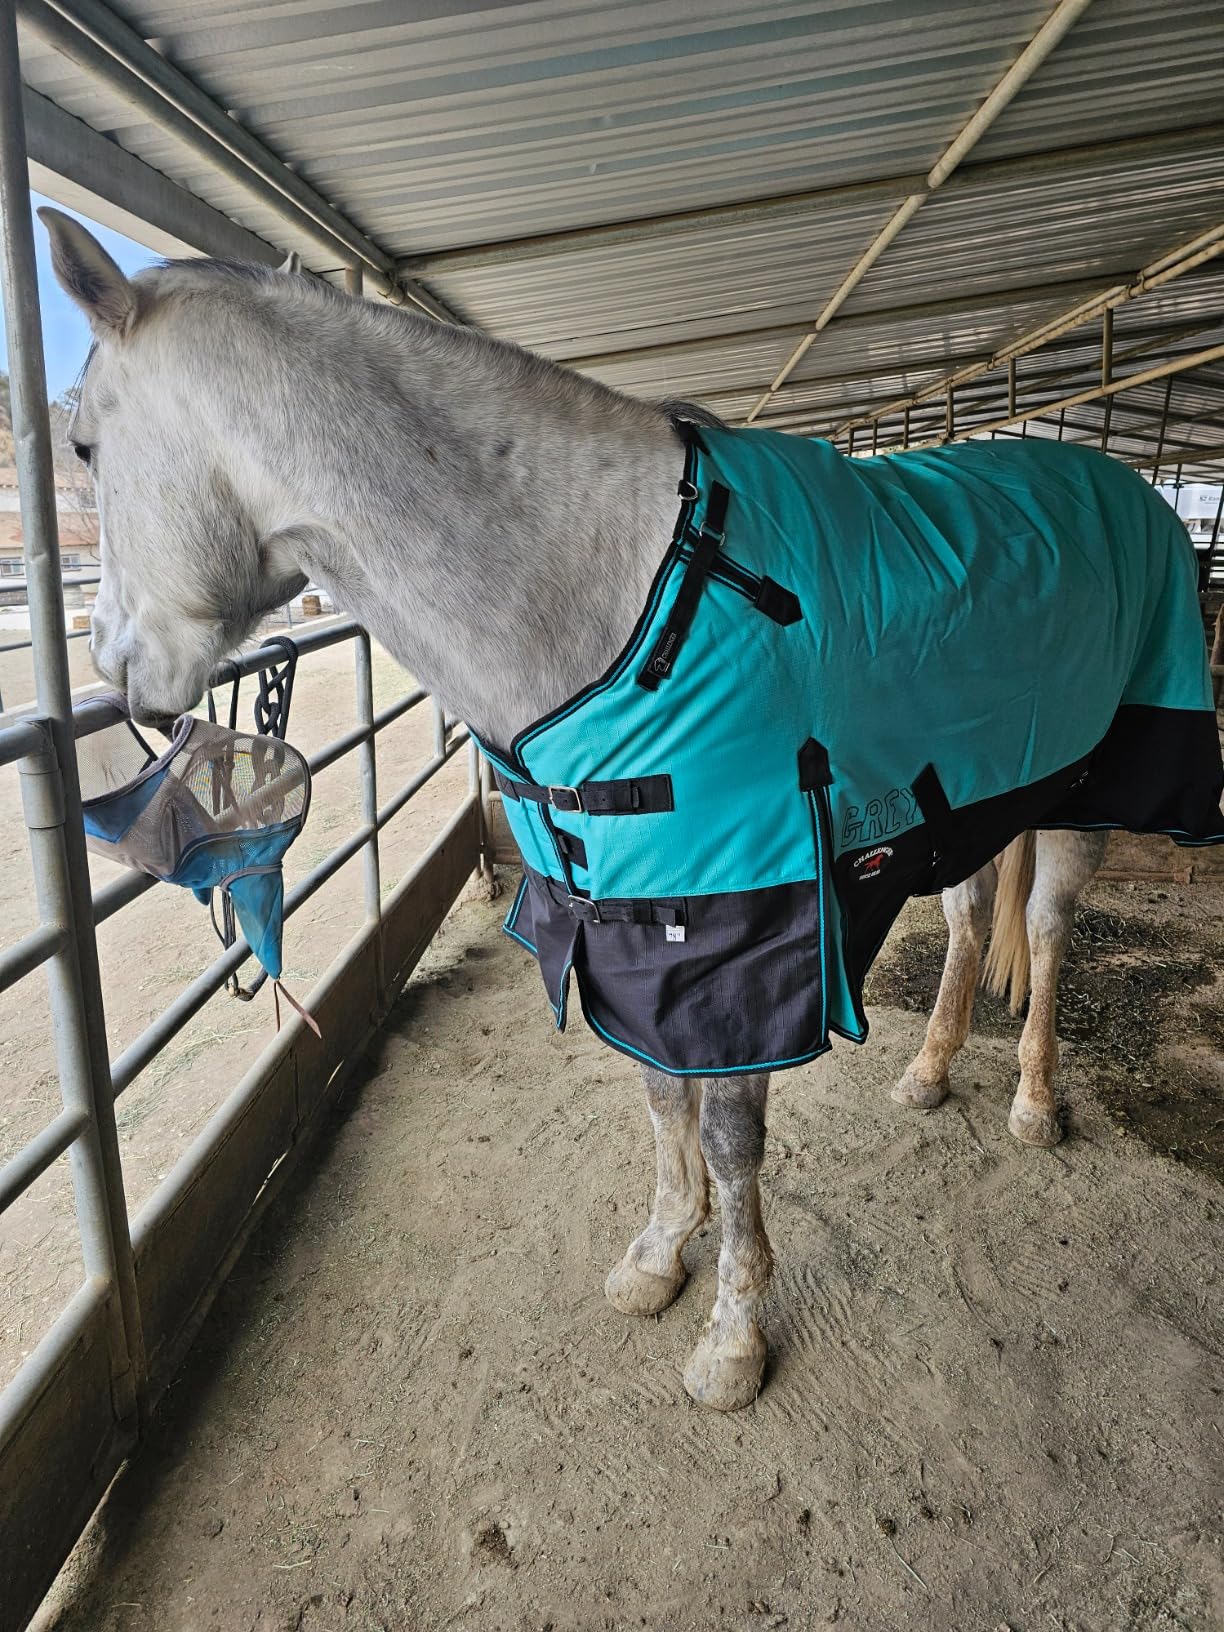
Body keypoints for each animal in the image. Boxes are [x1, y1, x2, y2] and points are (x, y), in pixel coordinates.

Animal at [38, 209, 1205, 1412]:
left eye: (80, 449)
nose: (112, 671)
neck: (622, 597)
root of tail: (1118, 479)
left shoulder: (738, 931)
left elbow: (730, 1134)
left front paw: (733, 1337)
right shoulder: (631, 918)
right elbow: (658, 1095)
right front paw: (658, 1257)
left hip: (1086, 800)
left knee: (1051, 933)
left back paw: (1034, 1101)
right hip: (980, 795)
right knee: (976, 919)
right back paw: (928, 1072)